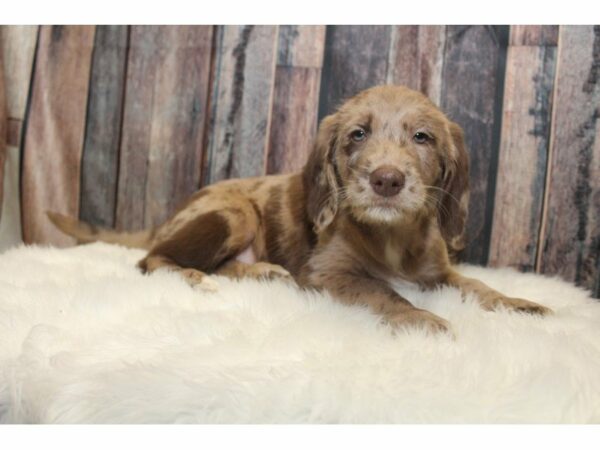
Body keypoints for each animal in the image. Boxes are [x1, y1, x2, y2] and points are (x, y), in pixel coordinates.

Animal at [49, 85, 552, 334]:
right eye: (357, 135)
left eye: (422, 137)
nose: (386, 180)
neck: (391, 235)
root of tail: (165, 220)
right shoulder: (328, 273)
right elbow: (382, 291)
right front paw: (419, 319)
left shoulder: (438, 271)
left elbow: (477, 285)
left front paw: (519, 304)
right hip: (233, 214)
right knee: (152, 260)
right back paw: (195, 278)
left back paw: (261, 273)